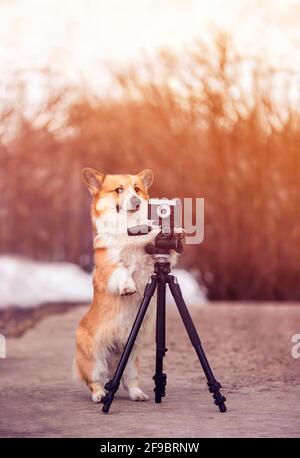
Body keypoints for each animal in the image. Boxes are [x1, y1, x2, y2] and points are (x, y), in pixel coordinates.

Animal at [75, 166, 177, 402]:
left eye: (137, 189)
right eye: (118, 190)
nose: (136, 200)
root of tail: (113, 366)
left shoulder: (150, 266)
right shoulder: (108, 265)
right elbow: (122, 270)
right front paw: (128, 287)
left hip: (131, 356)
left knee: (128, 380)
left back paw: (137, 394)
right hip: (94, 359)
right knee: (95, 381)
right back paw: (101, 395)